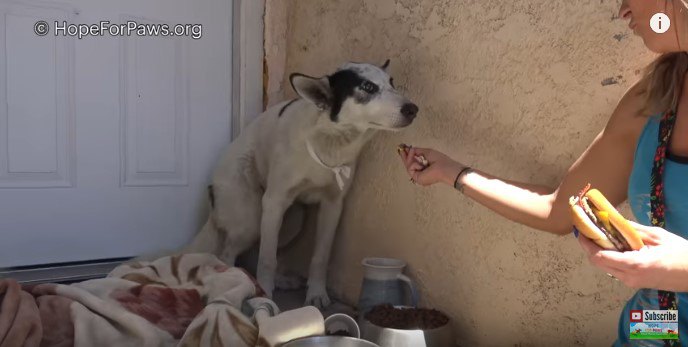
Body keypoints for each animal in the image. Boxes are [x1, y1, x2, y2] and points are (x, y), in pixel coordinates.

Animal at [185, 61, 416, 308]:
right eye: (368, 87)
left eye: (391, 83)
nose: (413, 109)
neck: (329, 139)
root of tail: (211, 190)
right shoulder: (275, 202)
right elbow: (268, 259)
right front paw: (264, 295)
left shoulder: (333, 206)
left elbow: (319, 257)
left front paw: (316, 293)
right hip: (252, 217)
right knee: (229, 254)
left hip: (292, 221)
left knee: (257, 249)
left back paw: (279, 280)